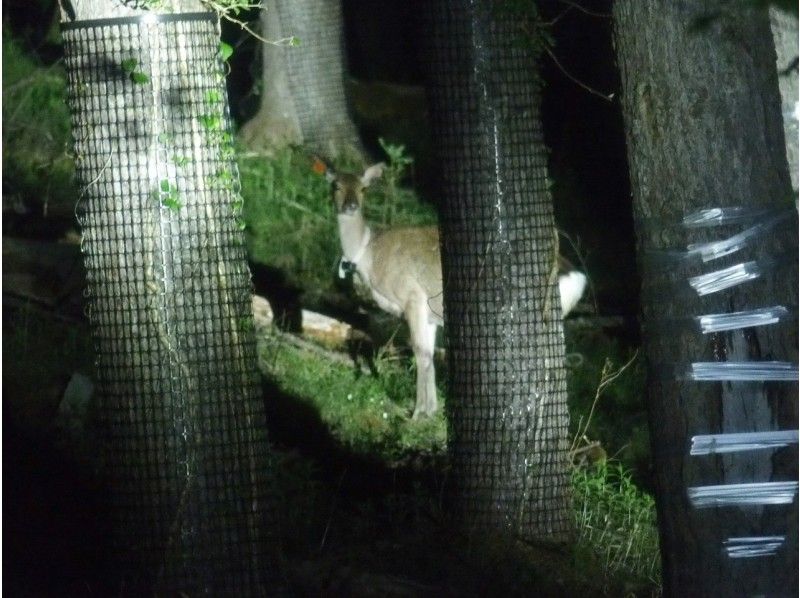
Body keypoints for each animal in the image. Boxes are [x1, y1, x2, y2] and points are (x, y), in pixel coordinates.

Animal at [318, 162, 588, 420]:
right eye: (336, 186)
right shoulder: (430, 315)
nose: (351, 206)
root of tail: (578, 277)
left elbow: (420, 352)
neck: (368, 255)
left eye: (364, 188)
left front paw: (416, 413)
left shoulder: (413, 296)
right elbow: (428, 354)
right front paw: (430, 410)